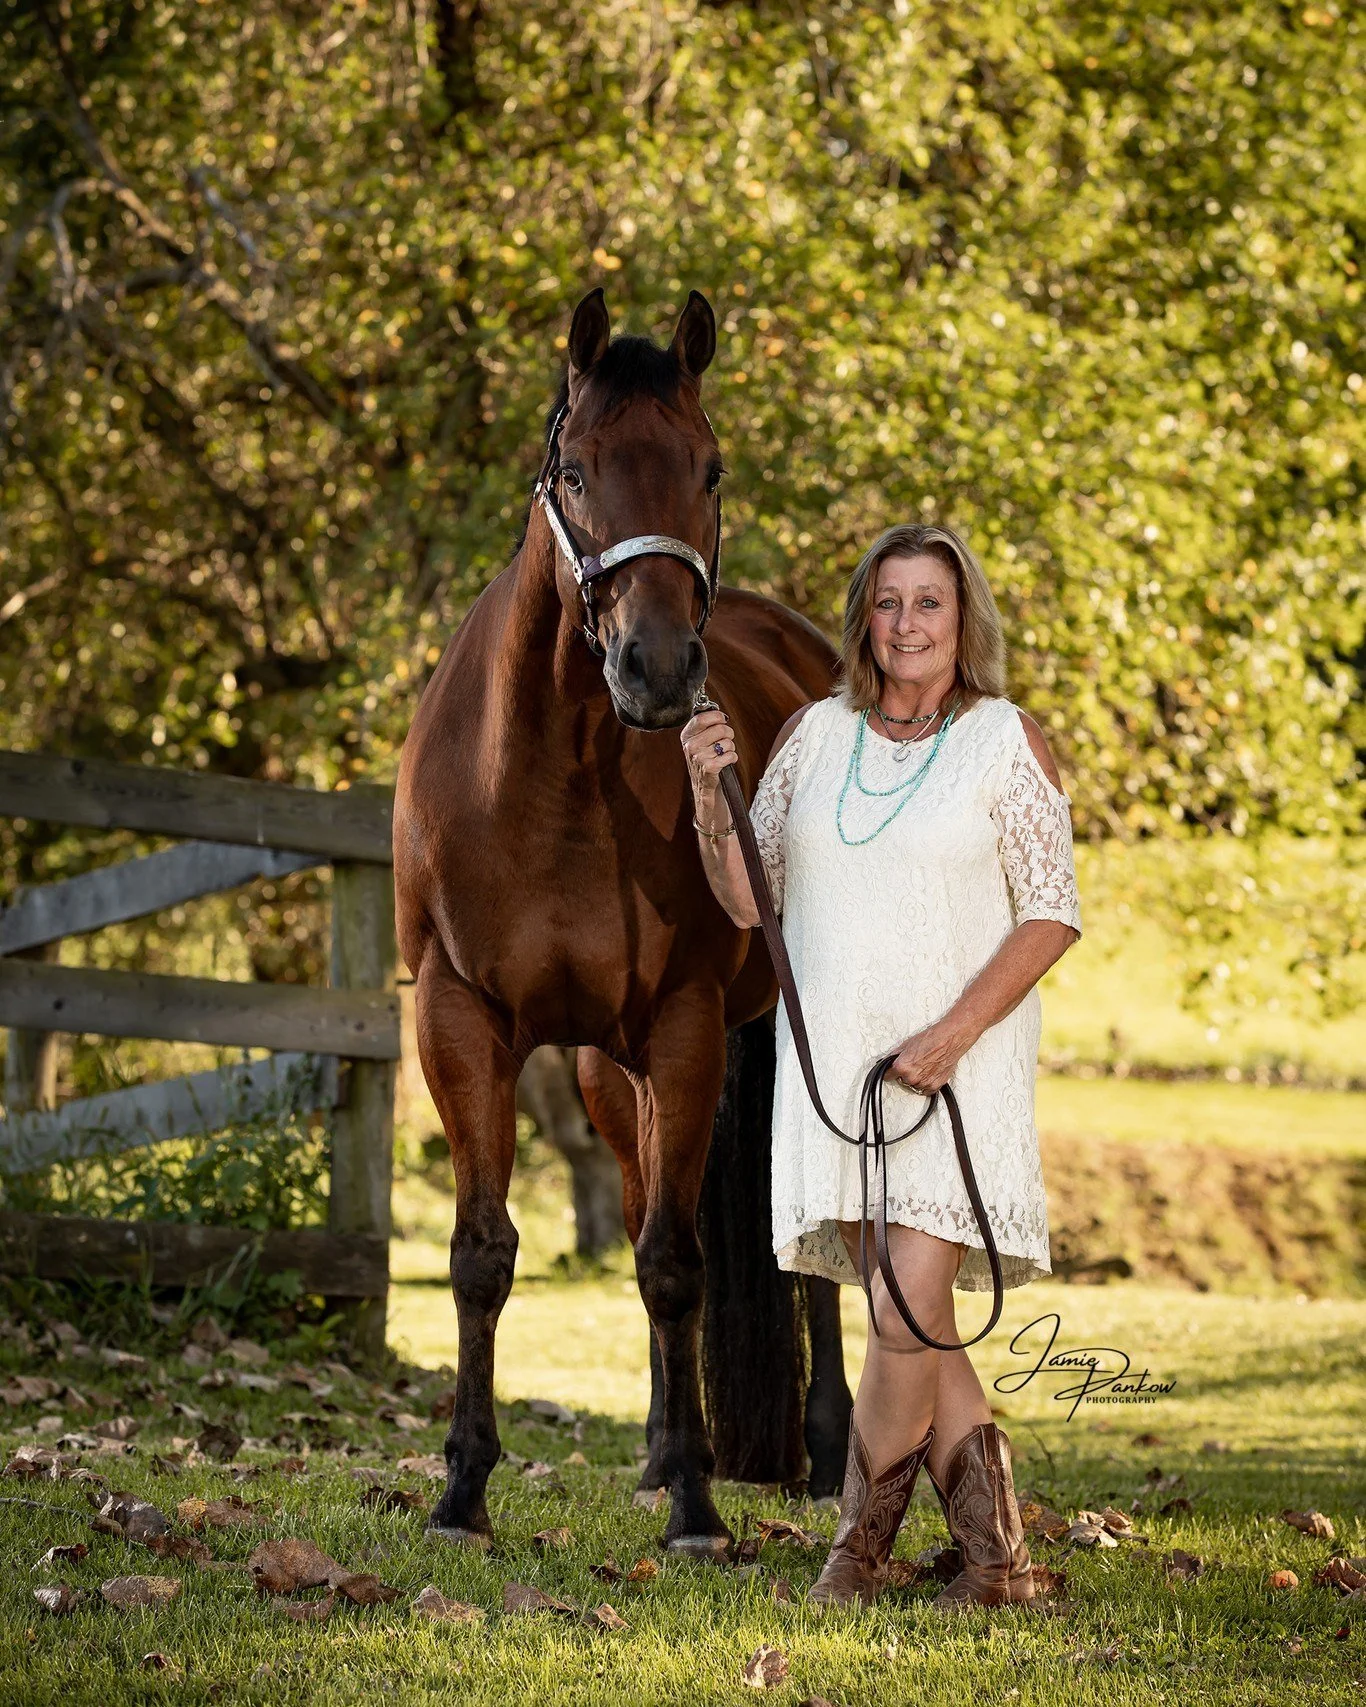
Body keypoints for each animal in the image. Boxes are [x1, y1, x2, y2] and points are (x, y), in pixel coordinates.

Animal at [393, 287, 852, 1555]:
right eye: (578, 471)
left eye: (709, 467)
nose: (654, 668)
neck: (549, 779)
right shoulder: (460, 1020)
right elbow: (483, 1256)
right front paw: (462, 1491)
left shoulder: (687, 1028)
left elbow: (674, 1267)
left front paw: (698, 1506)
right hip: (608, 1072)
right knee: (648, 1196)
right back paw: (652, 1450)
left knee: (800, 1246)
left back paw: (829, 1451)